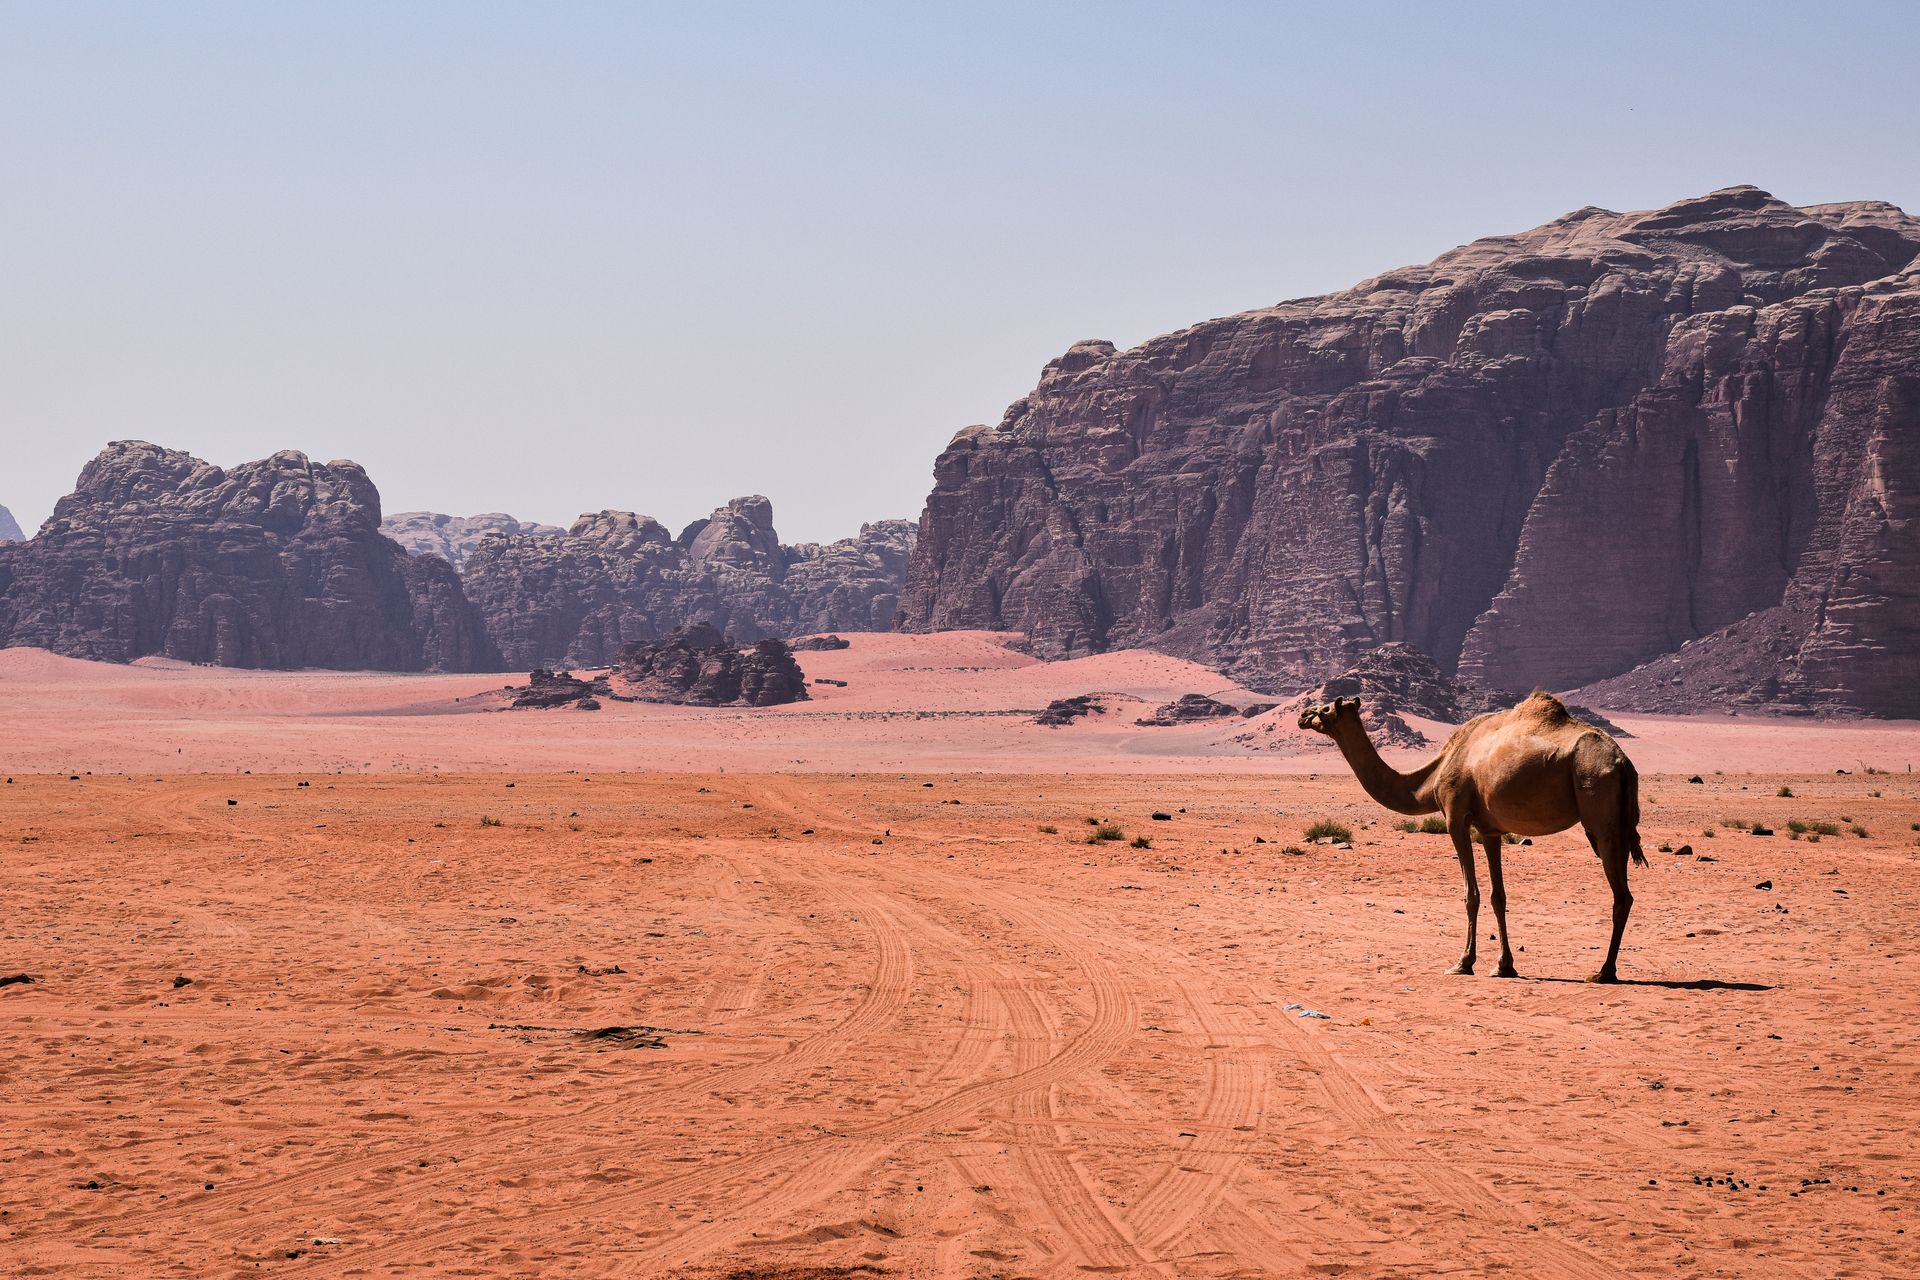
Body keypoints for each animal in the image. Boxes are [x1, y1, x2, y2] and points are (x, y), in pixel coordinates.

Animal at [1298, 691, 1645, 982]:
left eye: (1325, 708)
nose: (1302, 715)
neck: (1433, 775)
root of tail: (1623, 763)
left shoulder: (1455, 817)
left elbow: (1471, 895)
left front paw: (1463, 962)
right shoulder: (1490, 830)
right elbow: (1497, 896)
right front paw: (1504, 966)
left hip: (1599, 809)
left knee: (1621, 895)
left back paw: (1603, 972)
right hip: (1616, 823)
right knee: (1623, 892)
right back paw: (1606, 969)